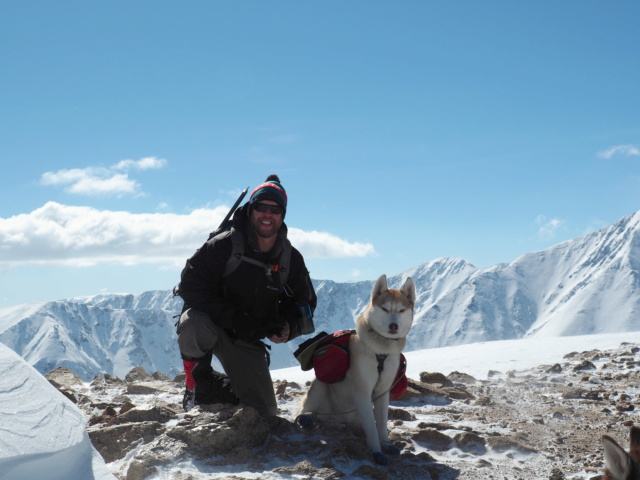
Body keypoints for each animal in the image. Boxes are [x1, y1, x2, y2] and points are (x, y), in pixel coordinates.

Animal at [296, 274, 416, 464]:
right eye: (385, 308)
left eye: (402, 310)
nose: (393, 326)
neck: (380, 351)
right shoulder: (362, 391)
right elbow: (372, 427)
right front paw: (377, 451)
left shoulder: (383, 391)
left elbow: (381, 422)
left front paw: (386, 444)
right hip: (320, 386)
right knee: (304, 410)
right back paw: (307, 418)